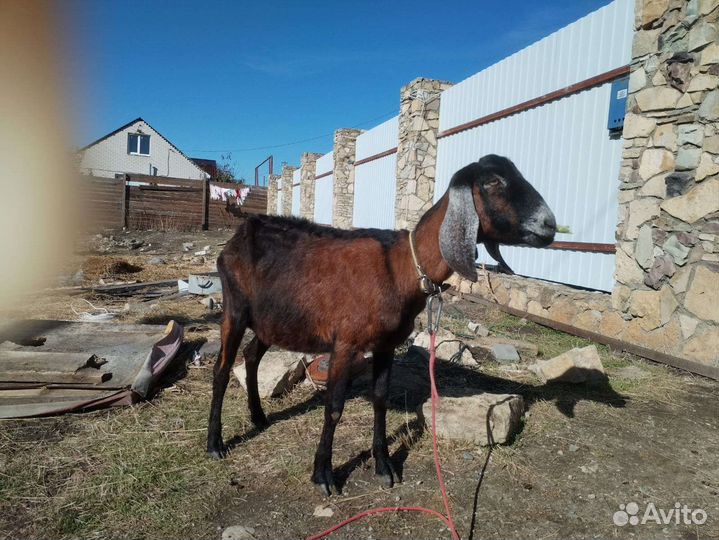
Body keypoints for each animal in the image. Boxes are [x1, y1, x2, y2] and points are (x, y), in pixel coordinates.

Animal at [208, 154, 556, 496]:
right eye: (492, 181)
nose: (550, 224)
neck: (400, 267)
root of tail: (242, 231)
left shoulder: (386, 344)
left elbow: (380, 401)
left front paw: (384, 466)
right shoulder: (345, 342)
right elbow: (334, 407)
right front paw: (323, 474)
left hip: (272, 320)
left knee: (251, 356)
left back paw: (258, 416)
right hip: (235, 308)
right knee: (222, 369)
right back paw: (215, 444)